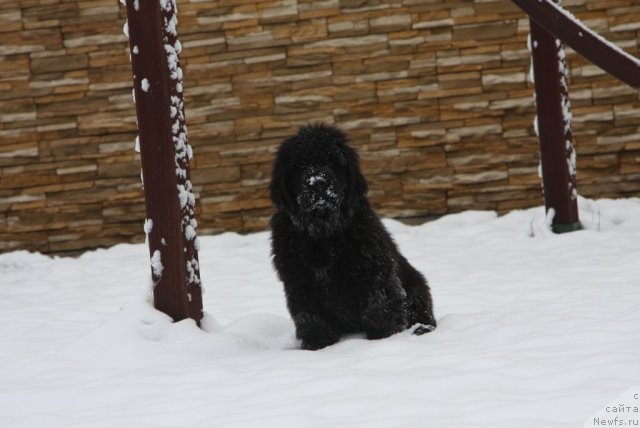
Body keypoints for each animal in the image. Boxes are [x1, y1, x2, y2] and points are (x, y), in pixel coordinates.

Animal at [270, 123, 436, 352]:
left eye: (332, 161)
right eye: (299, 165)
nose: (318, 182)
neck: (323, 233)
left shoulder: (375, 271)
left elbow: (379, 307)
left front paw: (383, 339)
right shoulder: (299, 281)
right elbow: (310, 316)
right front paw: (317, 345)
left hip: (415, 286)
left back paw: (420, 330)